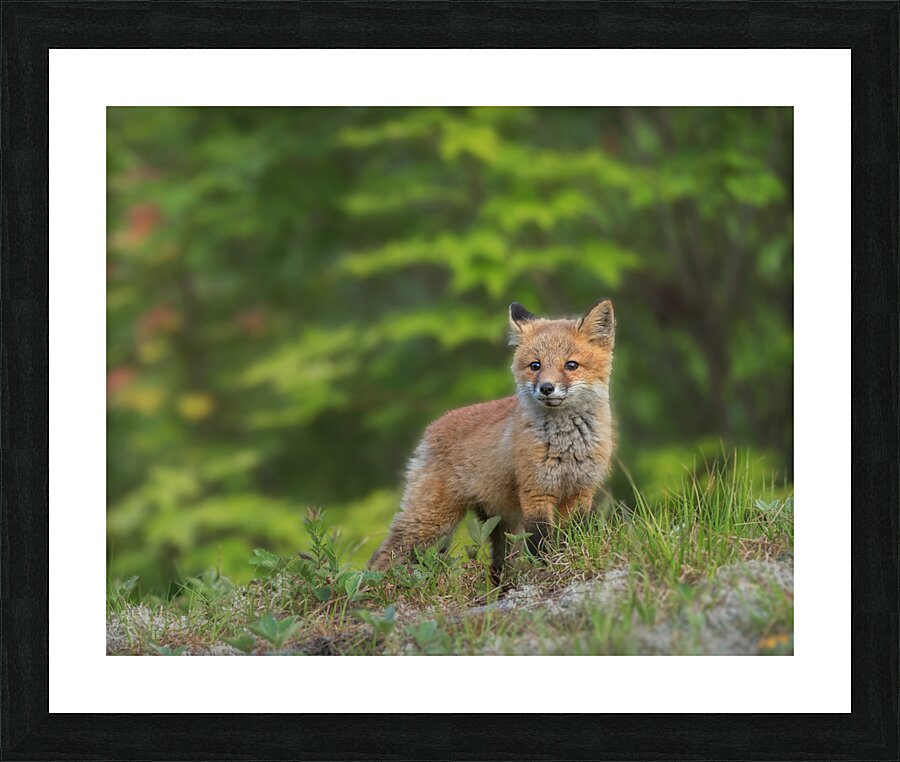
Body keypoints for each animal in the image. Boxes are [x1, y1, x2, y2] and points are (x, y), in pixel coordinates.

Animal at [369, 299, 616, 584]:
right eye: (535, 365)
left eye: (571, 365)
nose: (546, 388)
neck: (567, 446)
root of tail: (432, 427)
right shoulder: (536, 492)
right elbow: (539, 543)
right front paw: (545, 570)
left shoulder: (581, 491)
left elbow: (571, 535)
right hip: (431, 521)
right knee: (383, 555)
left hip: (499, 523)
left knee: (497, 565)